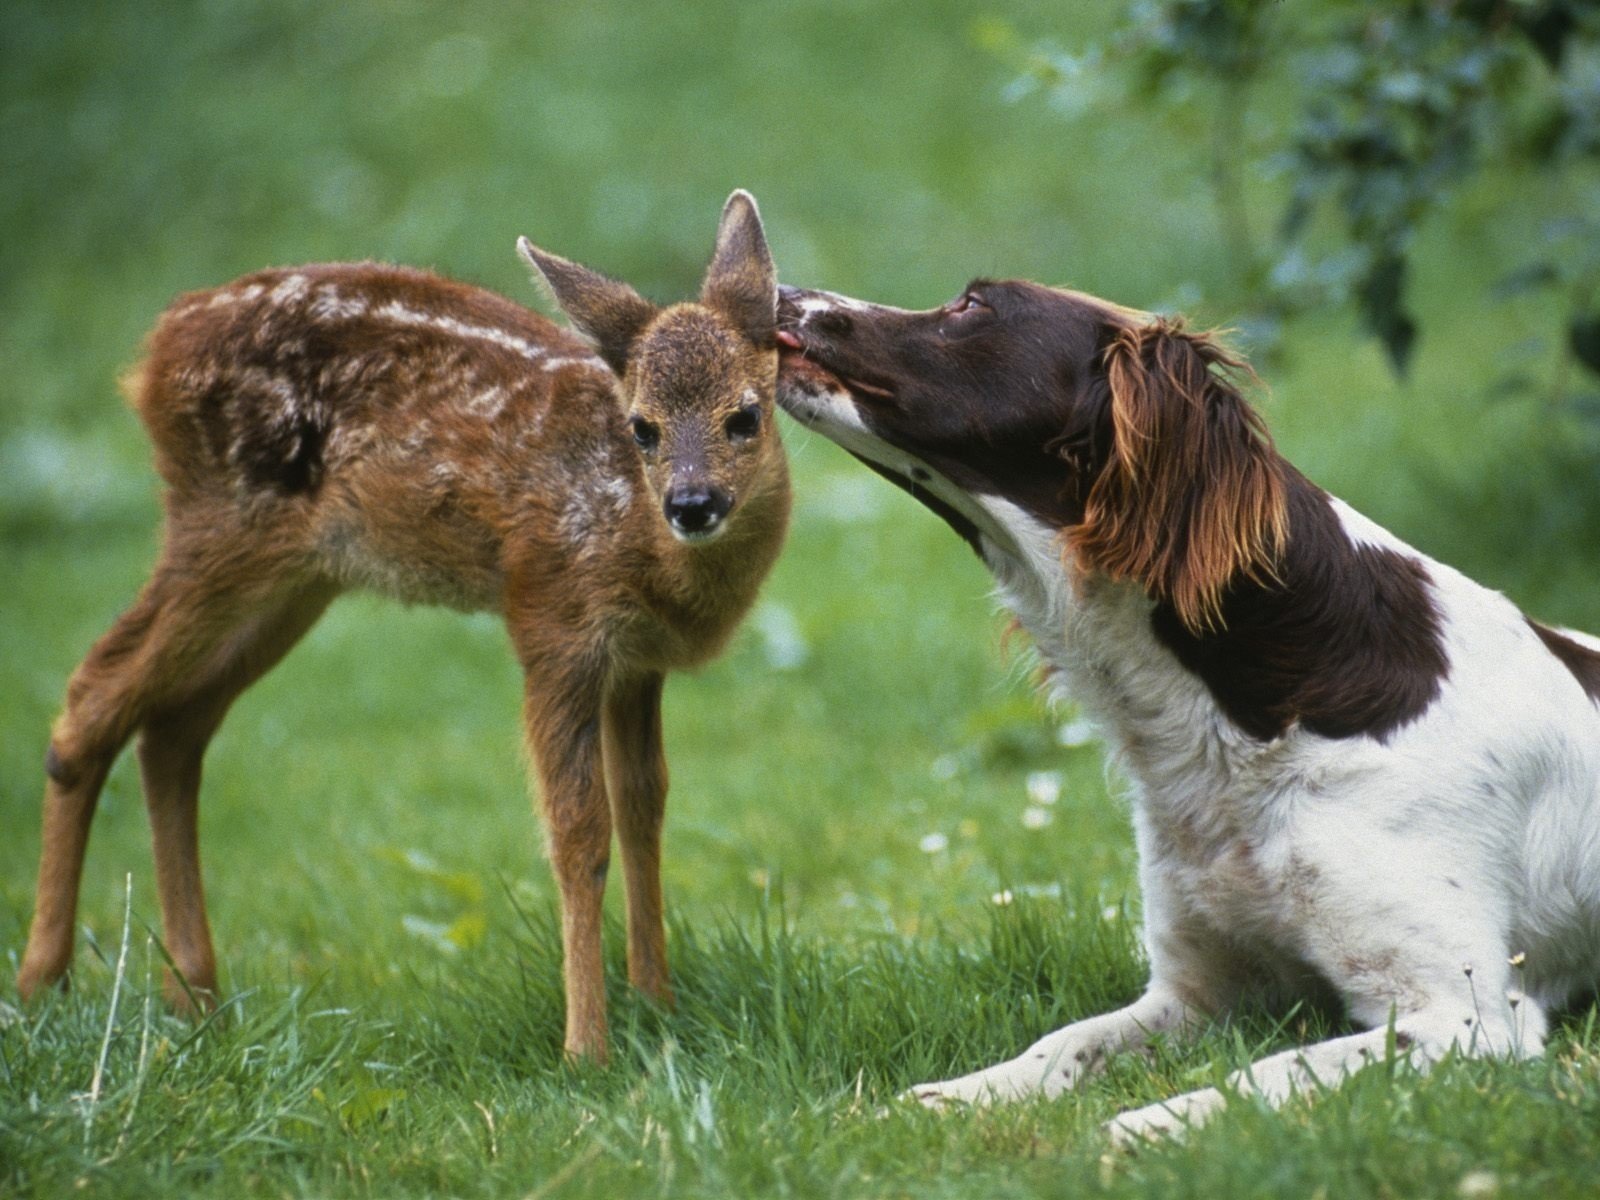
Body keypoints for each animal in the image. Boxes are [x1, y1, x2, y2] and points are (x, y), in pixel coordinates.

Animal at [12, 188, 787, 1062]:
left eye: (746, 416)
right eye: (643, 427)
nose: (692, 503)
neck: (640, 542)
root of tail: (154, 352)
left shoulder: (636, 662)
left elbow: (643, 809)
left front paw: (657, 1004)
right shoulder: (552, 620)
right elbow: (577, 832)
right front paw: (588, 1048)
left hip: (297, 580)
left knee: (172, 729)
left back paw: (197, 998)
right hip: (223, 525)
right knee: (94, 694)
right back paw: (43, 983)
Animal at [774, 276, 1600, 1139]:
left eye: (974, 305)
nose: (781, 289)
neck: (1250, 721)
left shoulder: (1466, 1016)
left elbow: (1267, 1072)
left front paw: (1142, 1127)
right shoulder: (1202, 991)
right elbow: (1062, 1042)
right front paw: (948, 1100)